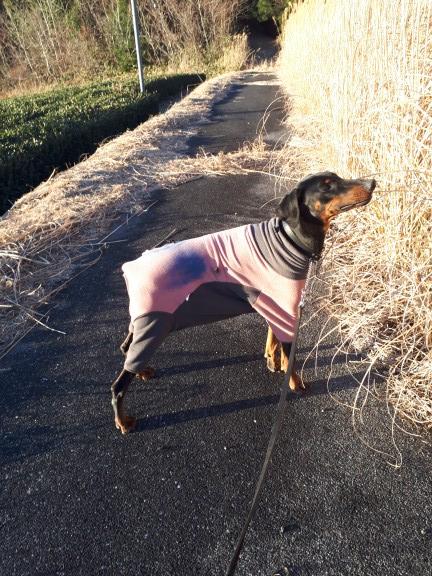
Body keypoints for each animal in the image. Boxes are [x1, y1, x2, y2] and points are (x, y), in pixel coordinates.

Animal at [111, 171, 376, 434]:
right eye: (327, 186)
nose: (372, 183)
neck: (290, 238)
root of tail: (130, 269)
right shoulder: (287, 310)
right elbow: (290, 356)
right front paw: (296, 383)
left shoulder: (276, 304)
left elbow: (272, 339)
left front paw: (272, 361)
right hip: (154, 324)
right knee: (119, 384)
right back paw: (123, 421)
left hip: (145, 322)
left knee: (126, 349)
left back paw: (143, 371)